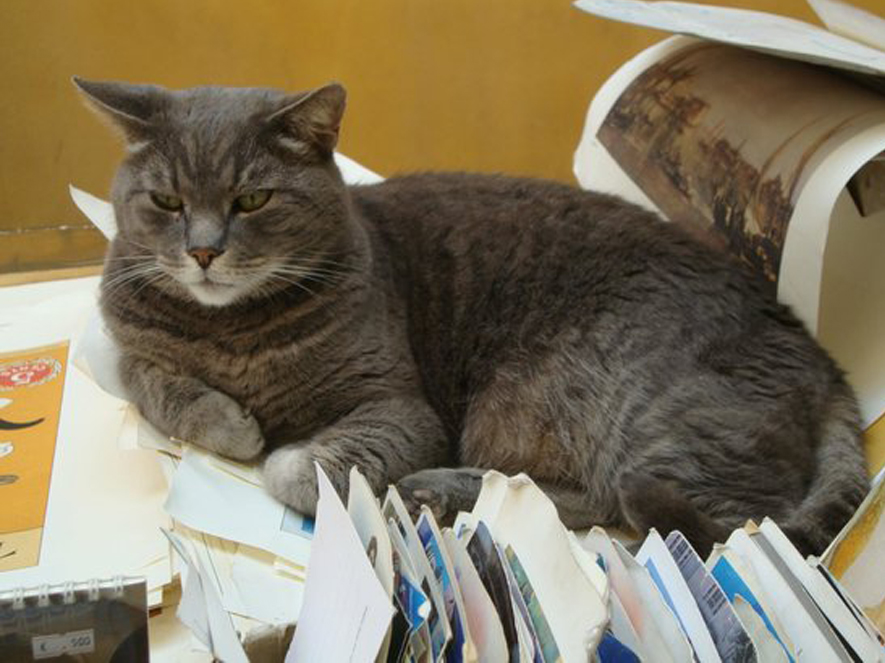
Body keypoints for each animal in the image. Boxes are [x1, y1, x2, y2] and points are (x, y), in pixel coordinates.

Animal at [74, 78, 864, 556]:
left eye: (252, 200)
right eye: (167, 202)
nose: (204, 252)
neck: (233, 332)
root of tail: (822, 359)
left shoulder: (399, 406)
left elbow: (294, 468)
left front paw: (276, 448)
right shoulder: (120, 339)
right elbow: (149, 377)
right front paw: (230, 420)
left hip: (637, 426)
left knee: (721, 523)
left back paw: (430, 487)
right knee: (572, 496)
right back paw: (439, 489)